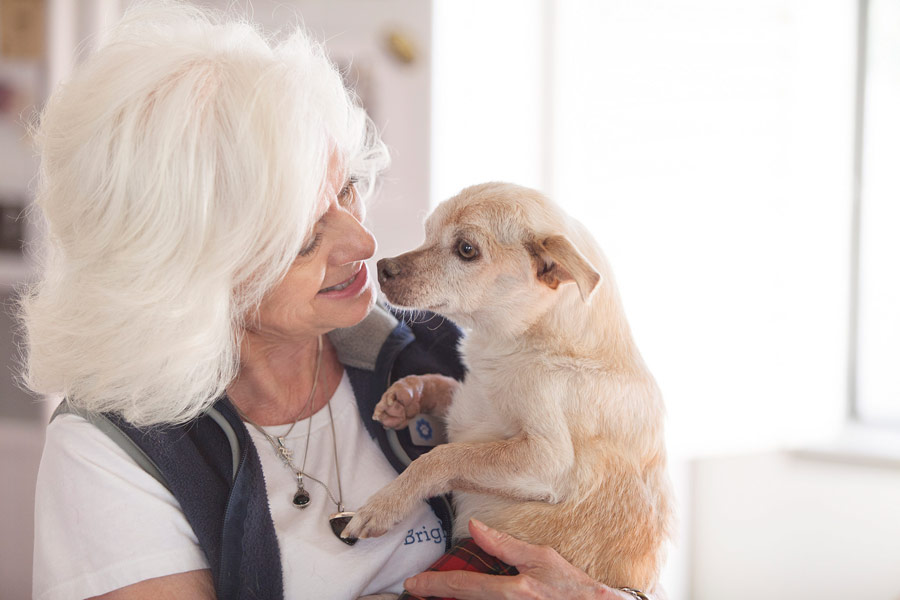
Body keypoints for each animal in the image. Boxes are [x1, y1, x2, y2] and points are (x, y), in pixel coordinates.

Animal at [342, 182, 672, 592]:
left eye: (467, 249)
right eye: (427, 232)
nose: (382, 267)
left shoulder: (547, 460)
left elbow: (442, 457)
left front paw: (383, 505)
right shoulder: (471, 398)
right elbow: (447, 387)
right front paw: (406, 397)